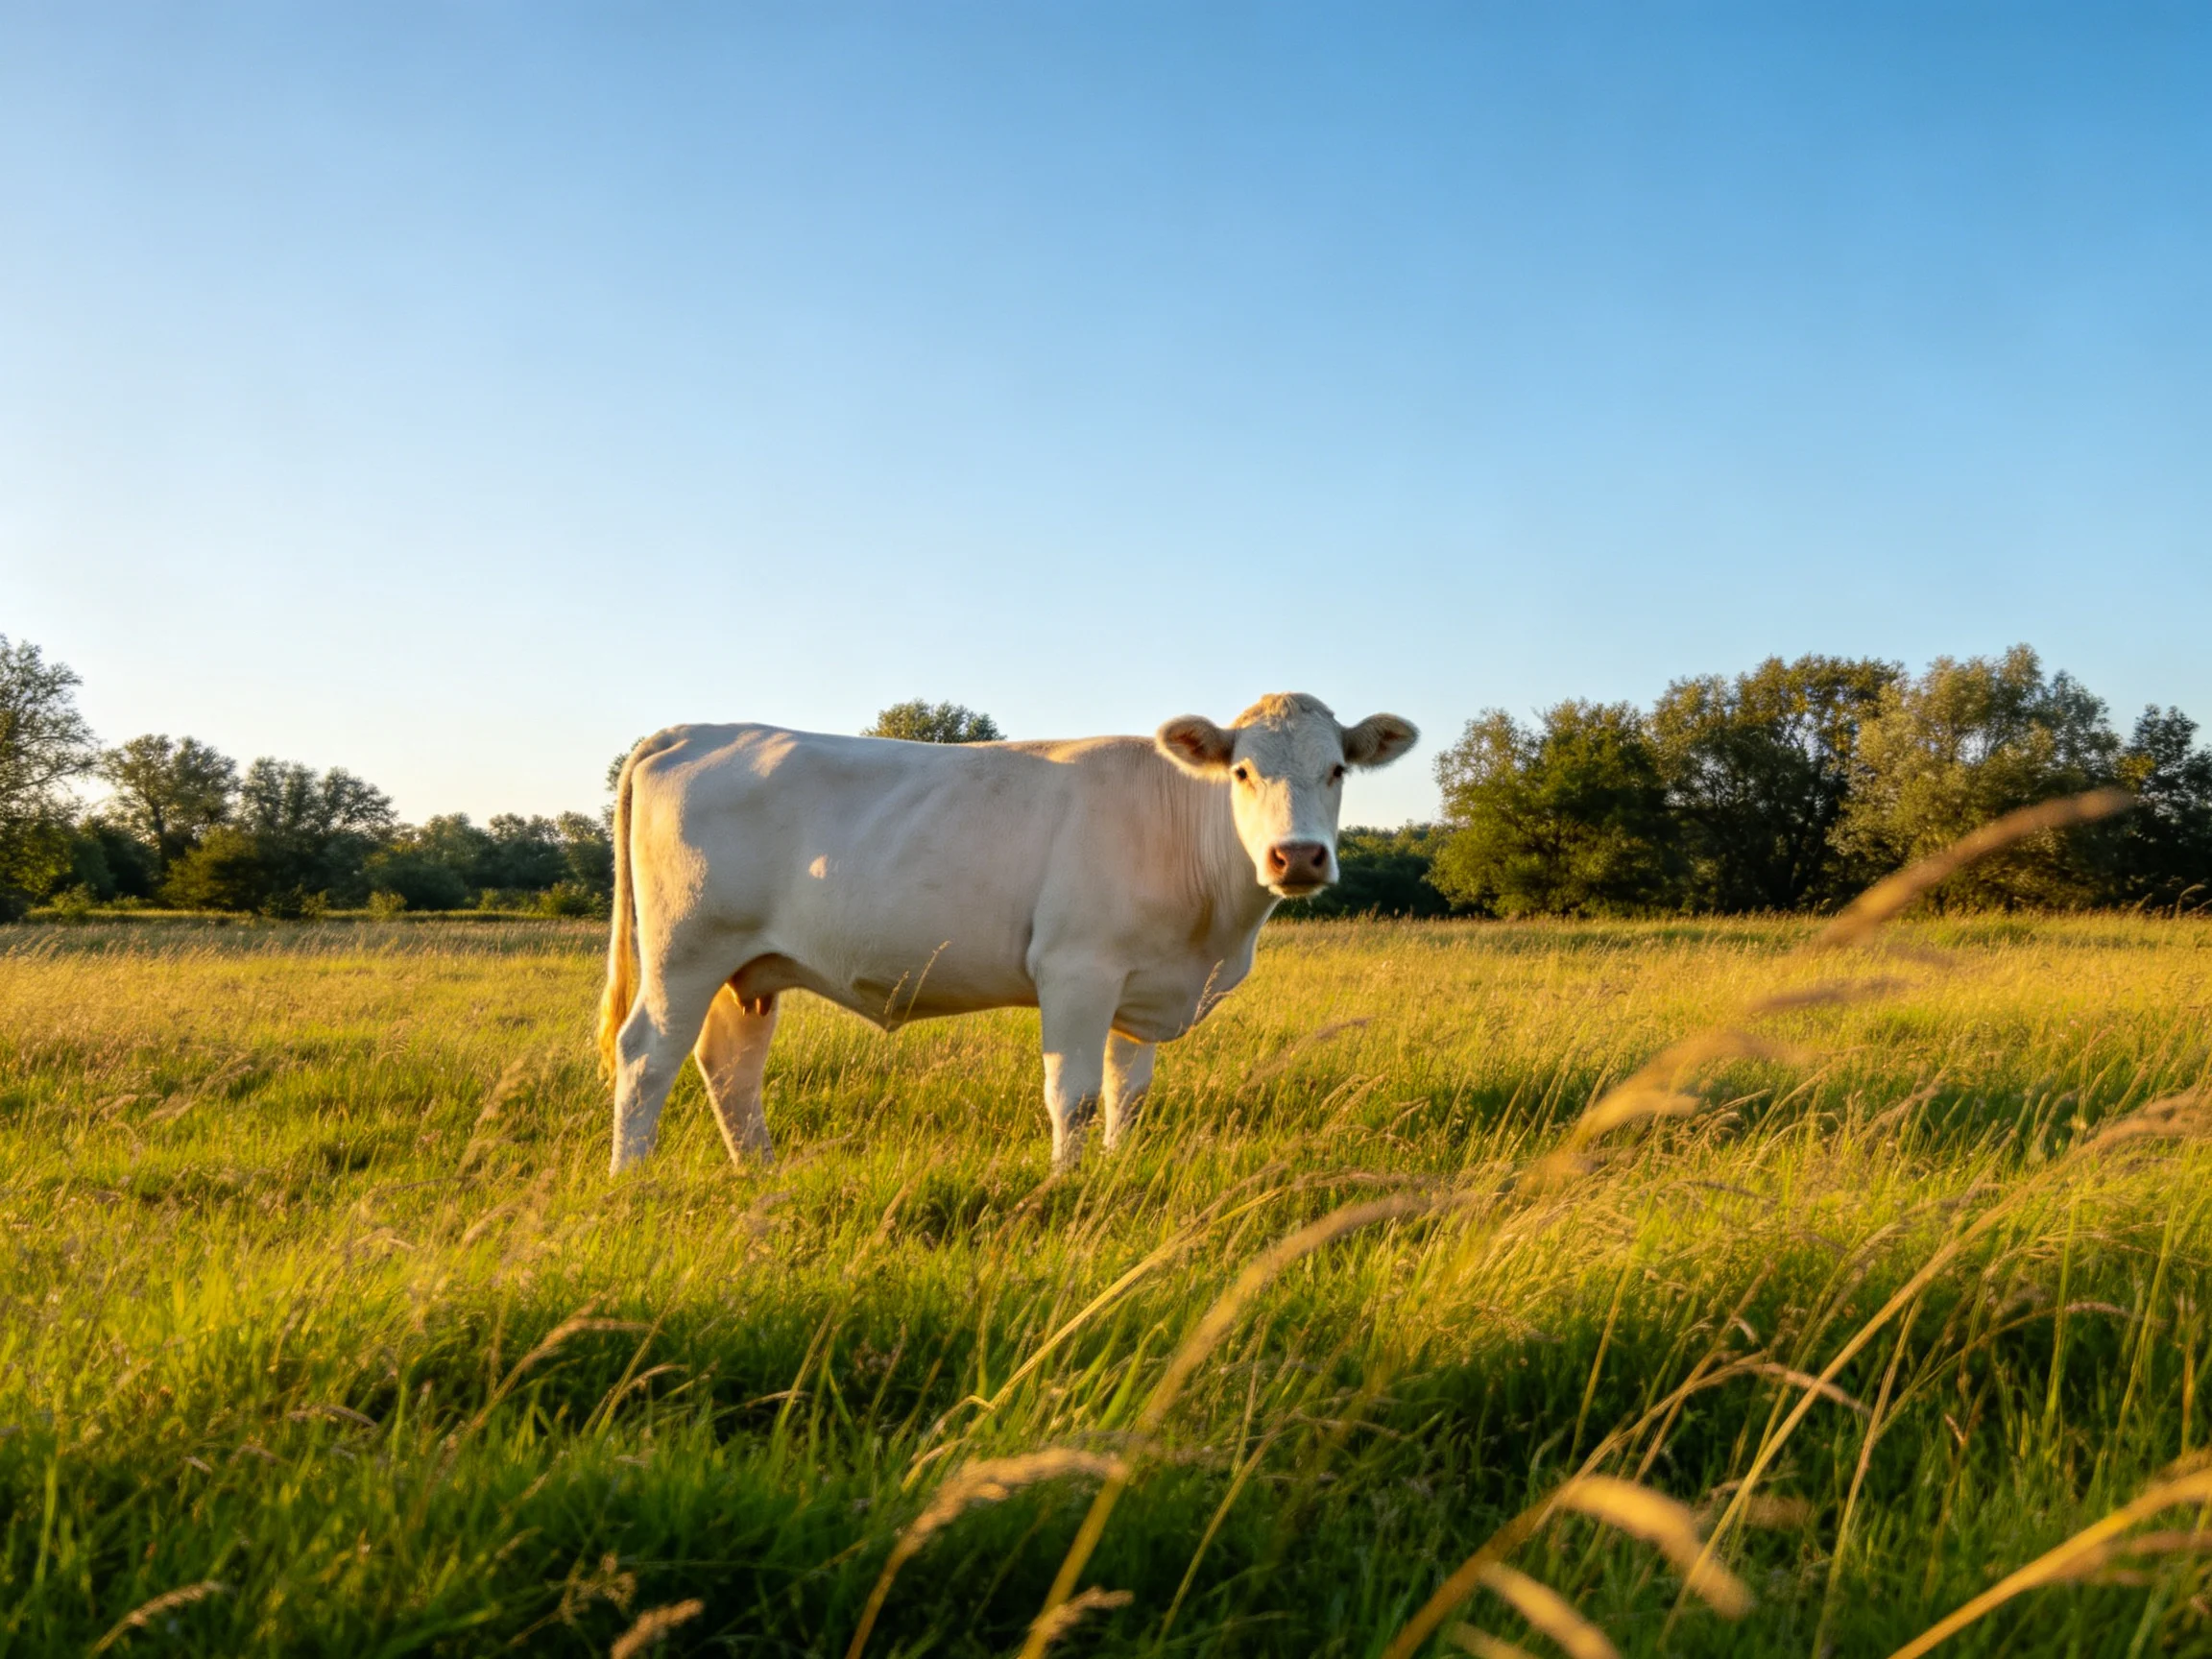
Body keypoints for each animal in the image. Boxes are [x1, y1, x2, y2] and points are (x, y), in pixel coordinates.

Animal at [596, 692, 1417, 1175]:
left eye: (1338, 769)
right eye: (1242, 772)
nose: (1298, 856)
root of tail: (694, 730)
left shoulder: (1141, 987)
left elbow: (1128, 1094)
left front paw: (1117, 1173)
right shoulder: (1077, 971)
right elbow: (1074, 1095)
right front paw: (1068, 1184)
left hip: (749, 969)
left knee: (729, 1066)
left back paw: (760, 1176)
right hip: (684, 955)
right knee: (647, 1057)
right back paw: (633, 1182)